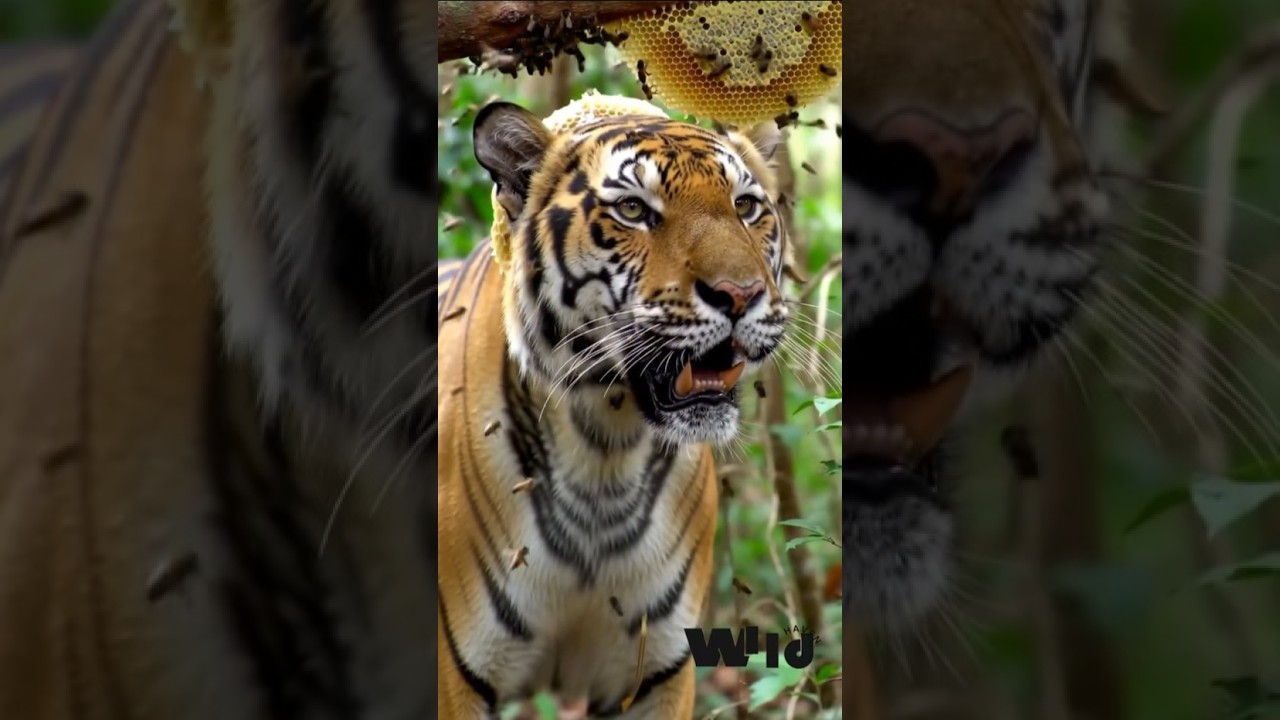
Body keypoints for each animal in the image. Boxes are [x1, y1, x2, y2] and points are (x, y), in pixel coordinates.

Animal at [436, 95, 789, 717]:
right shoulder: (455, 675)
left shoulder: (658, 672)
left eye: (745, 207)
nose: (740, 294)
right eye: (632, 209)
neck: (605, 449)